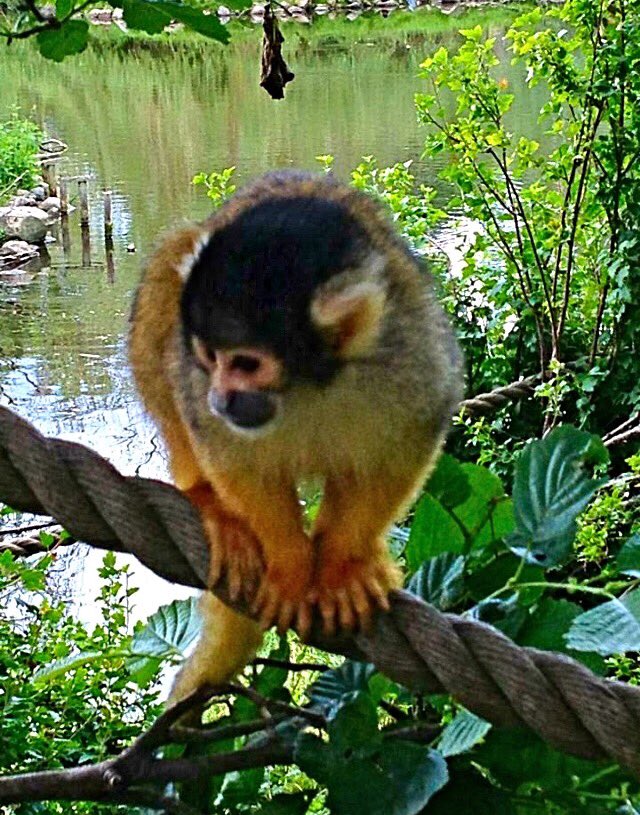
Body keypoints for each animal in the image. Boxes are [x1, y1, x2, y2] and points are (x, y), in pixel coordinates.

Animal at [129, 170, 462, 703]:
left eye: (246, 364)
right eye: (209, 356)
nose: (219, 398)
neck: (306, 385)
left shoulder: (413, 351)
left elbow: (406, 445)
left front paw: (342, 567)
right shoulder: (194, 373)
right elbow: (227, 451)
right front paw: (288, 561)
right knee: (169, 269)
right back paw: (210, 502)